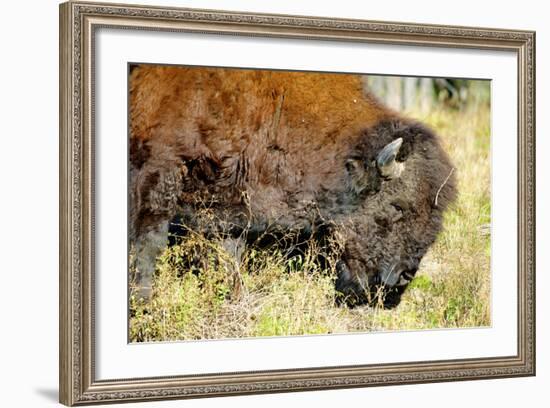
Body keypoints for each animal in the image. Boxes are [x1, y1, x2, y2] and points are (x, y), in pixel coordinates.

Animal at [129, 64, 458, 306]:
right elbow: (149, 242)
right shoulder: (158, 172)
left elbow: (230, 253)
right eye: (397, 206)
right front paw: (142, 300)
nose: (403, 276)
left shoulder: (229, 201)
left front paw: (234, 297)